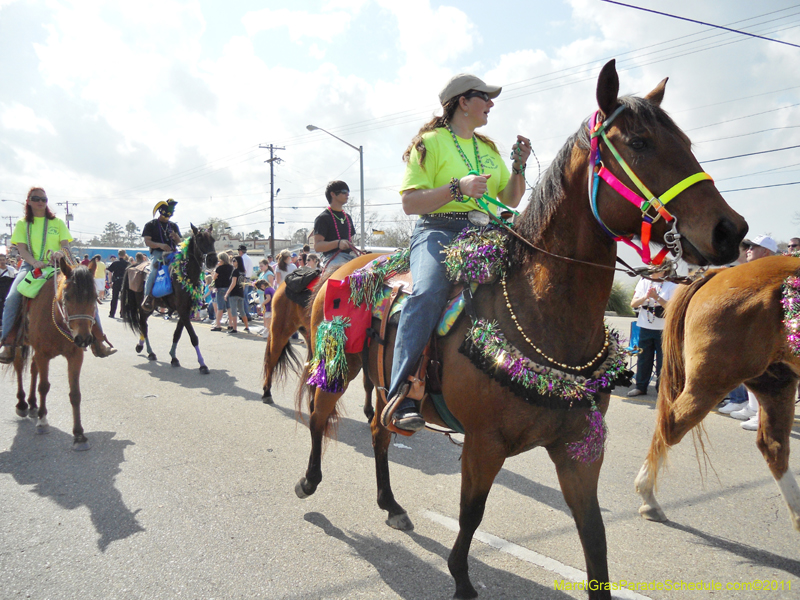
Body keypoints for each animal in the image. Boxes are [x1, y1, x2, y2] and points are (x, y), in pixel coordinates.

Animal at [10, 258, 99, 450]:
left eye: (95, 297)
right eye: (67, 297)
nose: (84, 338)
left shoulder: (75, 356)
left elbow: (75, 394)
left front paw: (79, 435)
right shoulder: (43, 354)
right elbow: (44, 386)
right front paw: (43, 422)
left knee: (33, 369)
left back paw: (32, 404)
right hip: (22, 344)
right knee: (19, 366)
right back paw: (22, 403)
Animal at [120, 225, 217, 372]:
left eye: (213, 240)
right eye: (200, 239)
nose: (213, 260)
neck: (186, 274)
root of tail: (135, 265)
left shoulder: (186, 310)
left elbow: (177, 334)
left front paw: (174, 357)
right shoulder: (182, 310)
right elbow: (193, 337)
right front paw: (202, 364)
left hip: (151, 308)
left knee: (144, 325)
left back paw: (141, 346)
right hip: (144, 306)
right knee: (143, 325)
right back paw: (149, 351)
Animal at [296, 58, 752, 596]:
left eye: (686, 142)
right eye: (640, 142)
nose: (731, 230)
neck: (544, 312)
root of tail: (347, 265)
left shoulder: (580, 449)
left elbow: (595, 541)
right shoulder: (483, 444)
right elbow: (471, 515)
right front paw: (461, 578)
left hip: (382, 382)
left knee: (377, 429)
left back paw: (392, 506)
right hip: (338, 365)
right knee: (321, 418)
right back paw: (308, 482)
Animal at [636, 255, 800, 532]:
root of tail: (718, 273)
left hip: (775, 382)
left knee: (774, 447)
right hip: (713, 380)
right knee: (670, 426)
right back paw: (648, 496)